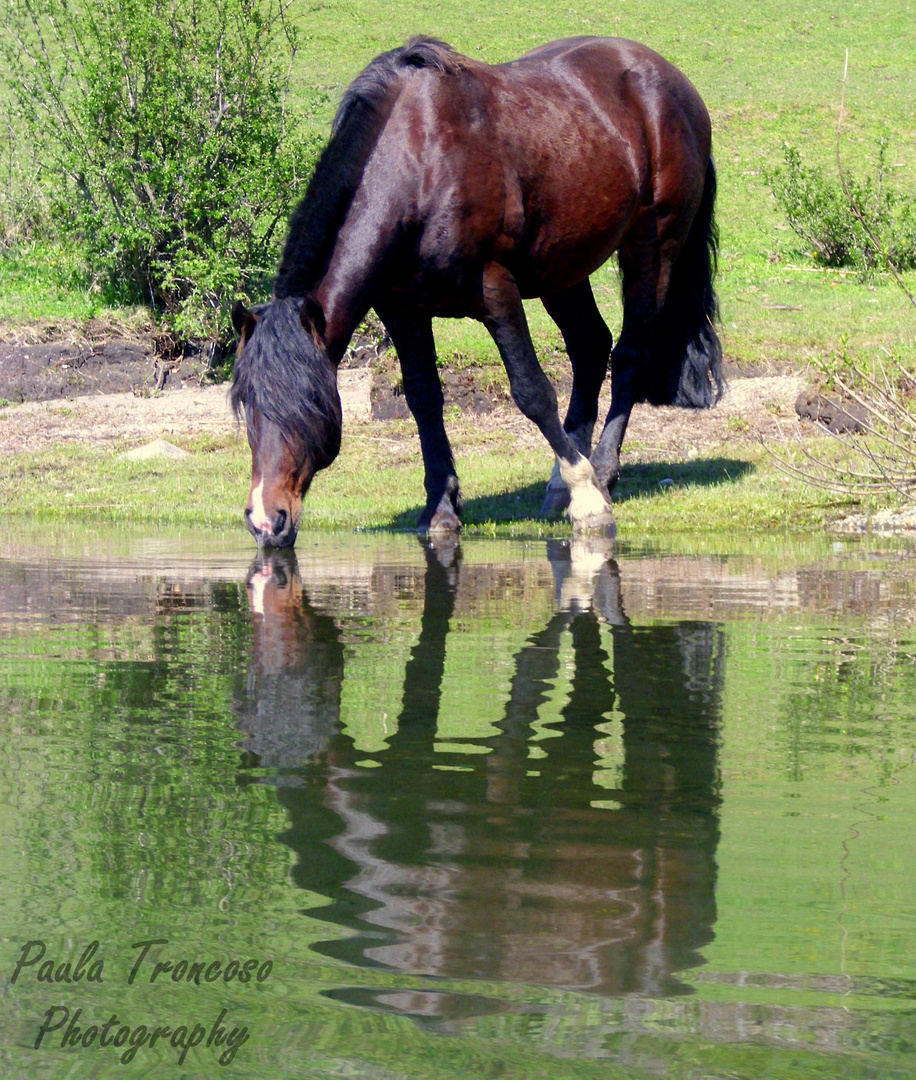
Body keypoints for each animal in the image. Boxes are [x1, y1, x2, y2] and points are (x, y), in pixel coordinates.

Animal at [231, 34, 721, 548]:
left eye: (310, 401)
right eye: (246, 404)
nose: (266, 520)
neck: (420, 166)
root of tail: (672, 81)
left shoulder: (496, 290)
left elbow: (532, 391)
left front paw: (588, 500)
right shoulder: (401, 310)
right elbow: (424, 399)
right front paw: (441, 508)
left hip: (653, 245)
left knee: (627, 353)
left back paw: (601, 473)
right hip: (562, 269)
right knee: (590, 347)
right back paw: (559, 484)